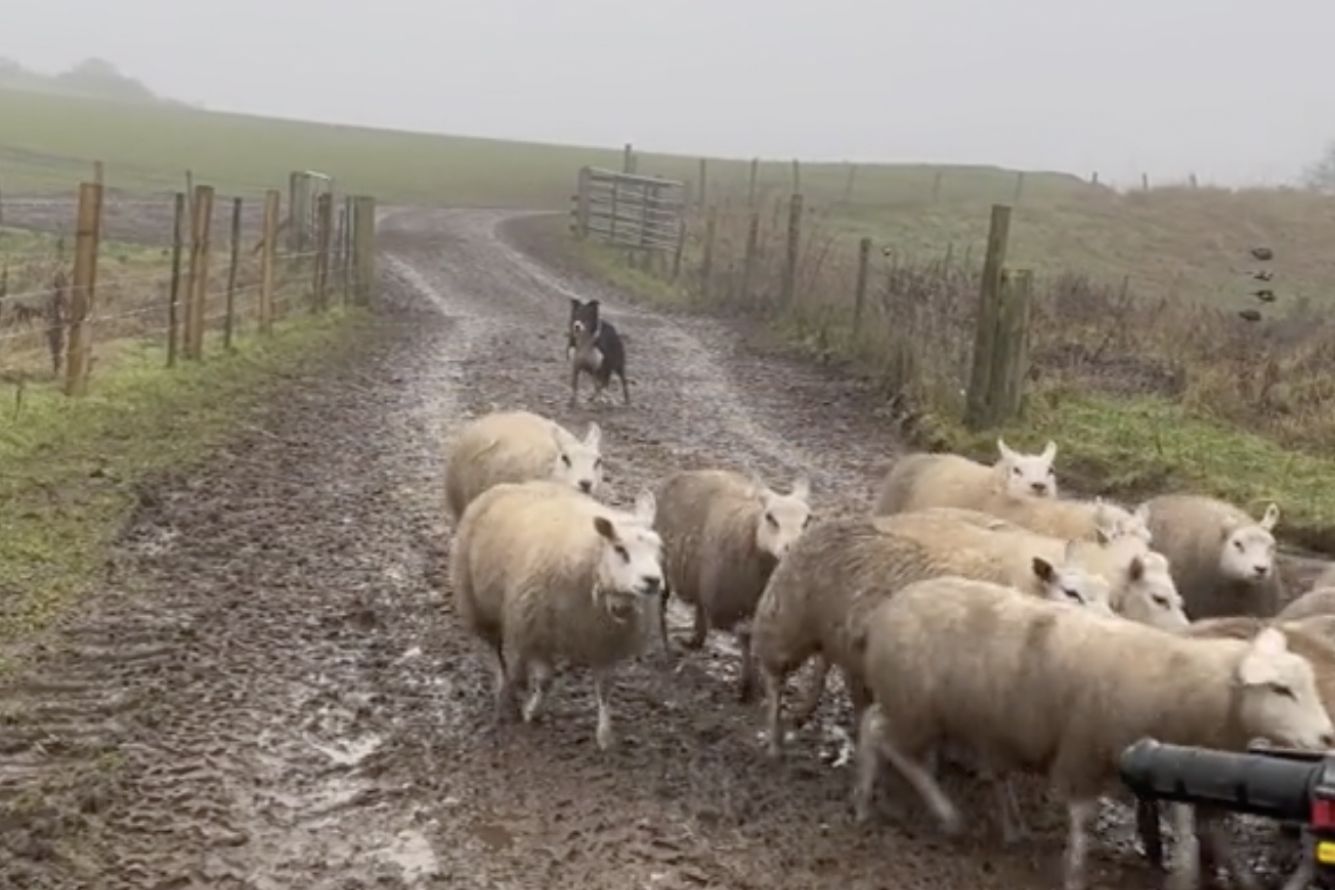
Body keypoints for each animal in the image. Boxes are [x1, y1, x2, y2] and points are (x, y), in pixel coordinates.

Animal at [450, 479, 663, 750]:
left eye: (658, 549)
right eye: (620, 549)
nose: (653, 581)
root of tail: (514, 485)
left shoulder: (604, 642)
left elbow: (605, 688)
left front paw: (605, 735)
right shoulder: (539, 632)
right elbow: (545, 680)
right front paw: (532, 712)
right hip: (479, 603)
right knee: (495, 651)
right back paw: (503, 688)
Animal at [651, 468, 812, 701]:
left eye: (808, 519)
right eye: (770, 517)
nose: (793, 549)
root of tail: (689, 473)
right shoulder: (735, 605)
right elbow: (745, 639)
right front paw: (747, 686)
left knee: (699, 605)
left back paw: (695, 639)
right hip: (663, 564)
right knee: (661, 604)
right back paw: (665, 650)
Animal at [752, 511, 1142, 759]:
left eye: (1110, 597)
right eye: (1072, 593)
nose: (1114, 628)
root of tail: (820, 527)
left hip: (841, 639)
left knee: (836, 672)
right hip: (786, 619)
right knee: (772, 675)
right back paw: (773, 739)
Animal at [853, 575, 1335, 890]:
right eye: (1280, 689)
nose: (1327, 738)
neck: (1181, 685)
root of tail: (885, 610)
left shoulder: (1170, 762)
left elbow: (1188, 837)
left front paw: (1182, 876)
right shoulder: (1083, 751)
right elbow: (1083, 823)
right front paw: (1074, 874)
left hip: (921, 705)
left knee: (872, 726)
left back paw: (867, 802)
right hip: (915, 704)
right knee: (892, 743)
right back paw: (942, 814)